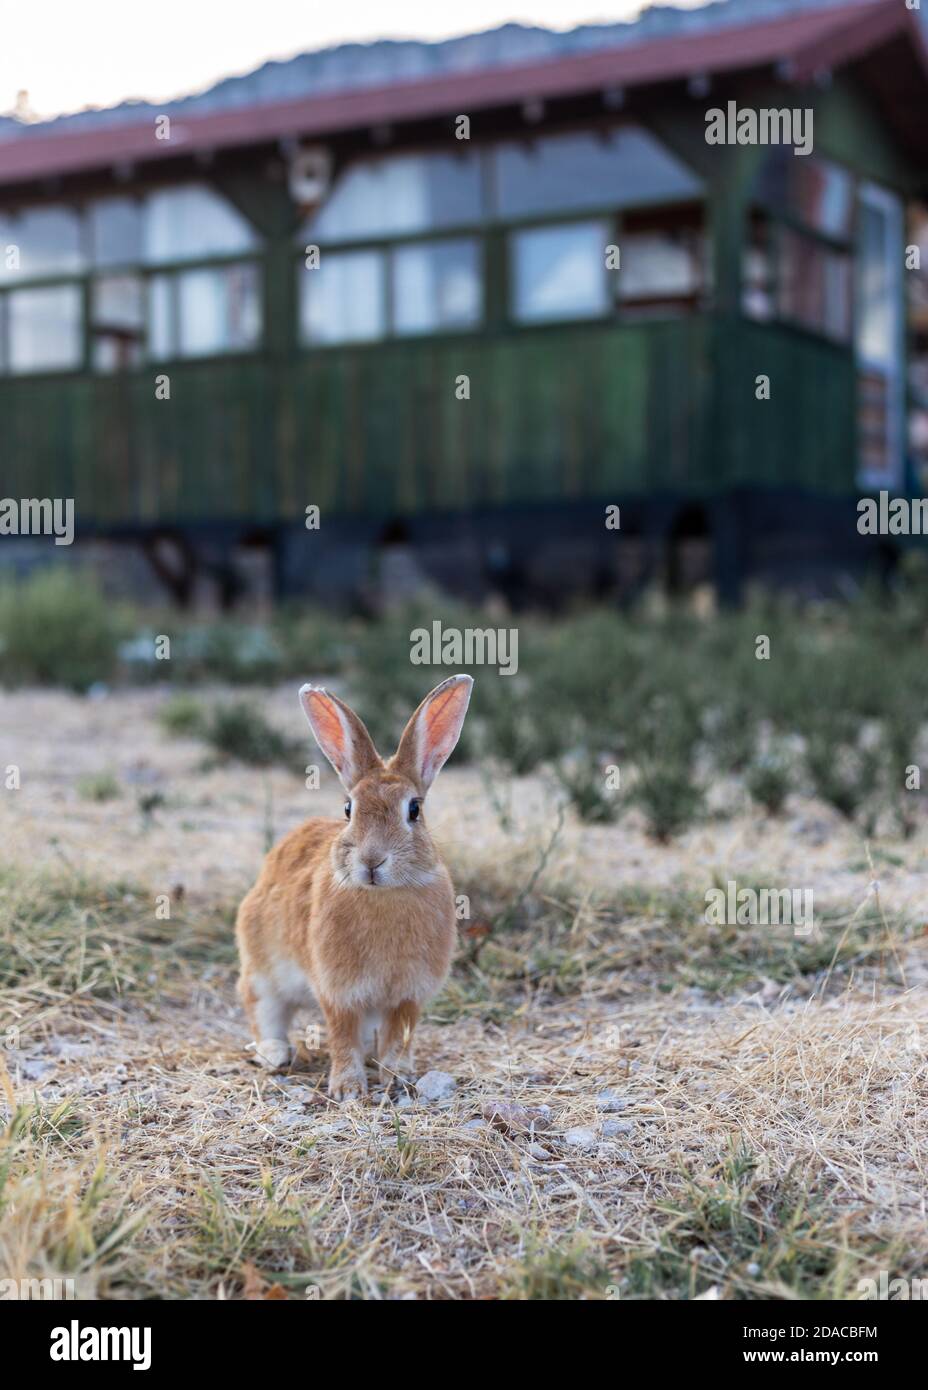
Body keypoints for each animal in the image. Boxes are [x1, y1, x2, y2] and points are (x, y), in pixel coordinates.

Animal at [236, 669, 475, 1095]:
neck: (384, 895)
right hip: (262, 967)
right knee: (262, 1008)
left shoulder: (407, 995)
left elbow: (398, 1036)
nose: (371, 861)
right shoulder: (339, 991)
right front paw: (348, 1089)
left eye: (415, 810)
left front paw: (398, 1076)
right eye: (348, 808)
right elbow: (342, 1035)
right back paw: (276, 1055)